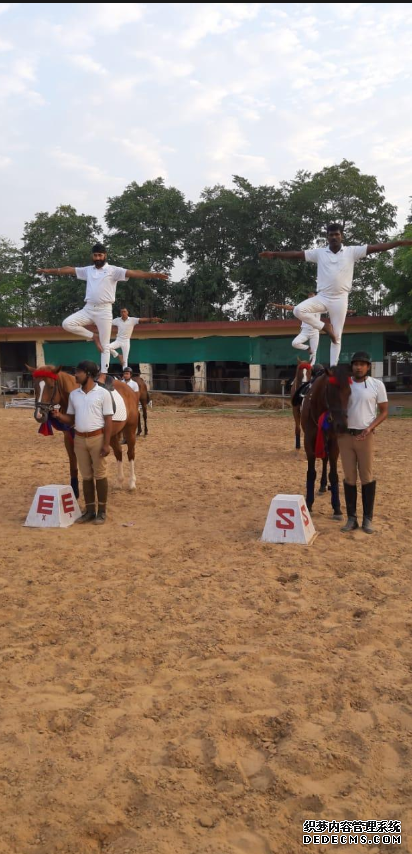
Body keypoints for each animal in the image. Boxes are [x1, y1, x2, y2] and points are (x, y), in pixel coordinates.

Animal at [27, 364, 140, 492]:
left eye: (51, 387)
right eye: (35, 387)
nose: (39, 415)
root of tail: (130, 391)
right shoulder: (69, 440)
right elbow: (73, 467)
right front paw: (74, 491)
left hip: (130, 430)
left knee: (130, 453)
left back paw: (131, 483)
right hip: (111, 435)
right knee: (118, 452)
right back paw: (119, 482)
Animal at [300, 364, 350, 520]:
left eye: (349, 392)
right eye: (332, 392)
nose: (342, 426)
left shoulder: (334, 442)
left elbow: (333, 475)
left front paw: (337, 508)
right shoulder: (308, 441)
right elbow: (311, 472)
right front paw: (308, 503)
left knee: (325, 460)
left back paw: (323, 485)